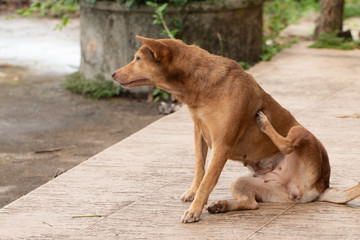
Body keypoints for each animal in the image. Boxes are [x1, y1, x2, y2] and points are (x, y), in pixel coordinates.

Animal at [112, 35, 360, 223]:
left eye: (137, 58)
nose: (112, 74)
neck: (199, 87)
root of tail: (322, 187)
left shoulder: (222, 146)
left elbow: (208, 181)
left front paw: (195, 210)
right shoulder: (198, 132)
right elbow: (199, 167)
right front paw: (193, 192)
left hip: (304, 133)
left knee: (288, 144)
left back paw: (264, 122)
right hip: (245, 183)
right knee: (251, 204)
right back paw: (222, 206)